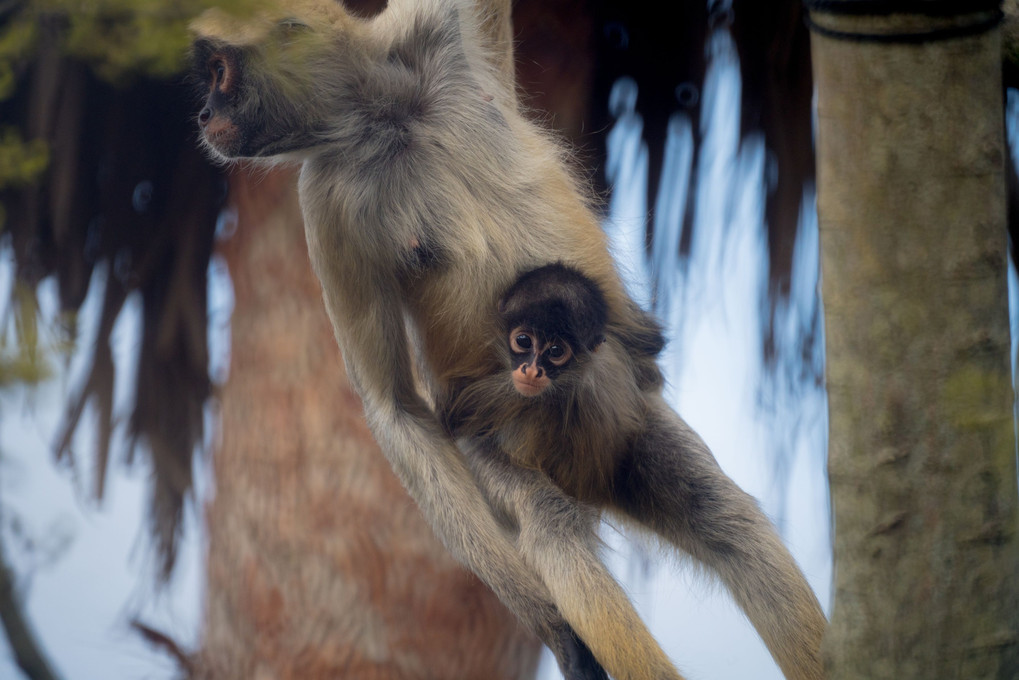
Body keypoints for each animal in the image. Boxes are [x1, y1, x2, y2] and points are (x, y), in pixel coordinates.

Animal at [191, 2, 827, 676]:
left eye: (220, 73)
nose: (203, 116)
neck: (380, 118)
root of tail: (589, 479)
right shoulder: (324, 193)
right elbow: (397, 409)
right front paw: (559, 632)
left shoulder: (424, 36)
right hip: (497, 440)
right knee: (554, 529)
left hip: (630, 429)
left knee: (728, 521)